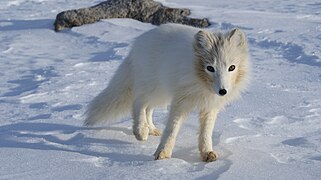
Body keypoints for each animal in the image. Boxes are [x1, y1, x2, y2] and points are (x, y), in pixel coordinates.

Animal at [84, 23, 249, 162]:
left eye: (232, 67)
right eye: (210, 68)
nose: (223, 91)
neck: (202, 84)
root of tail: (138, 42)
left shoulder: (210, 106)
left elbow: (206, 132)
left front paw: (207, 152)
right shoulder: (180, 101)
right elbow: (172, 129)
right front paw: (163, 153)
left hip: (162, 94)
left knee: (148, 108)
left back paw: (151, 129)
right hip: (155, 88)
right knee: (138, 102)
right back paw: (140, 131)